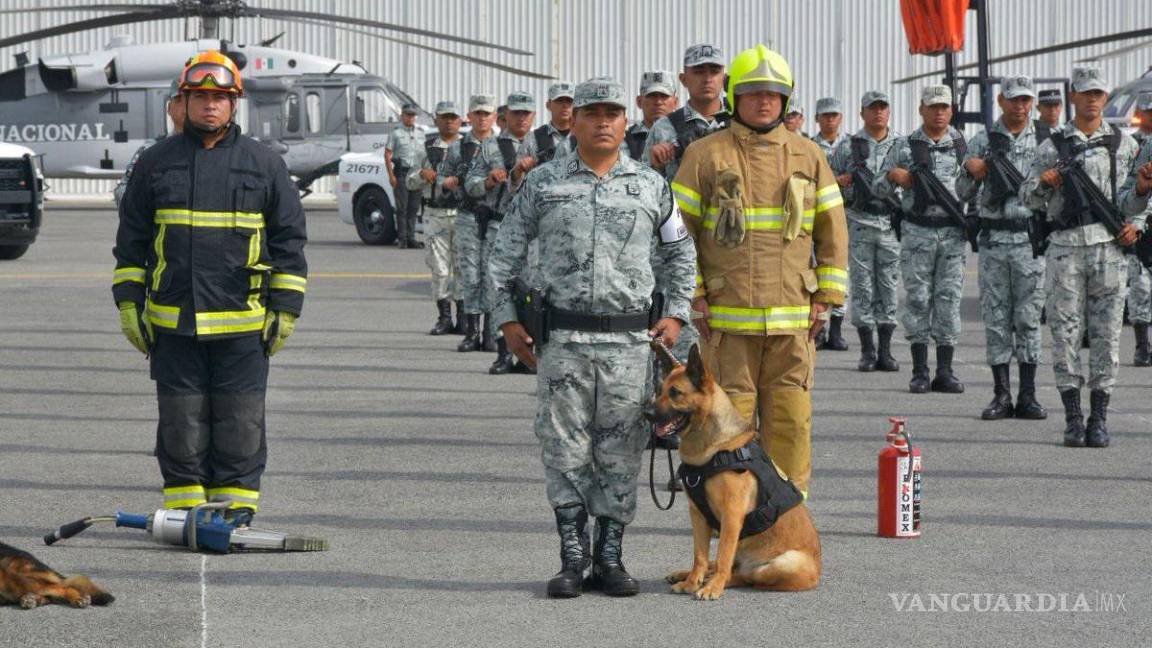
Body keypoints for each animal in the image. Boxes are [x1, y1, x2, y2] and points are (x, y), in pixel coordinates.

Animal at [658, 341, 820, 599]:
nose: (646, 413)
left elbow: (723, 556)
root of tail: (818, 570)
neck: (714, 449)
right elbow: (700, 556)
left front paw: (711, 587)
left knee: (744, 575)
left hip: (782, 563)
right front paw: (692, 582)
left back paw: (716, 580)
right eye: (660, 390)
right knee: (723, 565)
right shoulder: (698, 515)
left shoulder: (732, 516)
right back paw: (689, 575)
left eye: (675, 393)